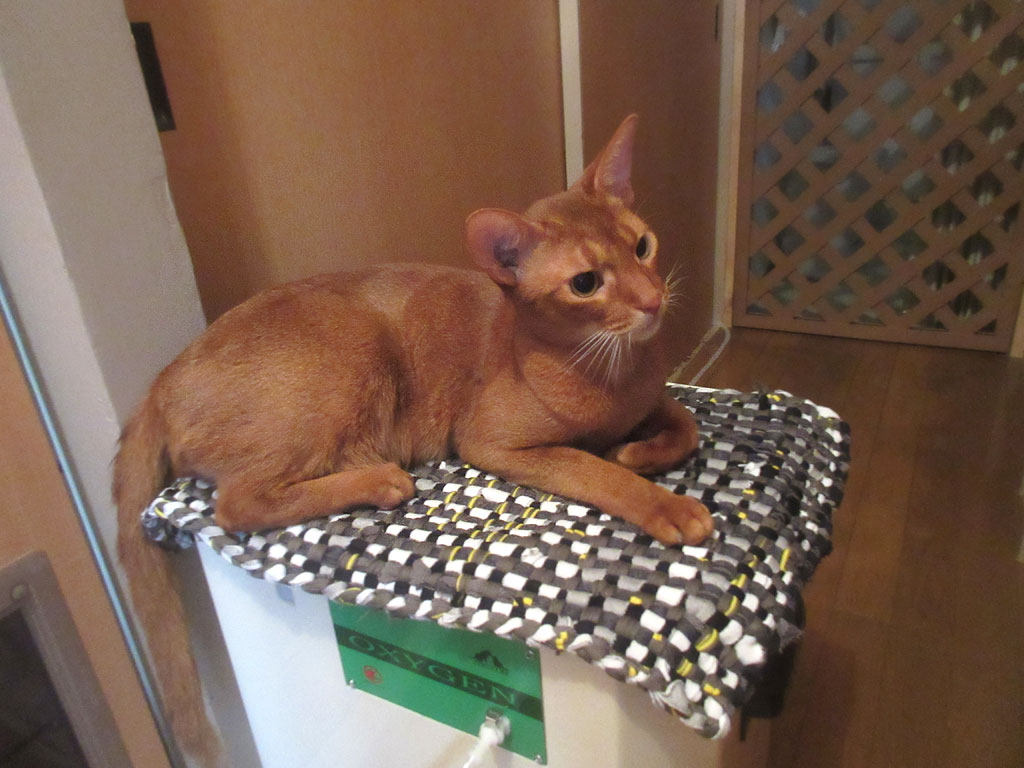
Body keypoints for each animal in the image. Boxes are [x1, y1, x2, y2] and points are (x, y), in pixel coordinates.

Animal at [113, 114, 713, 766]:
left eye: (642, 246)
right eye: (585, 283)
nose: (653, 301)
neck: (615, 374)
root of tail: (162, 378)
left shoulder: (652, 398)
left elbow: (686, 426)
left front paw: (637, 451)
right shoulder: (492, 443)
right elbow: (595, 470)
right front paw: (663, 502)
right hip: (353, 341)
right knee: (237, 504)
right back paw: (380, 480)